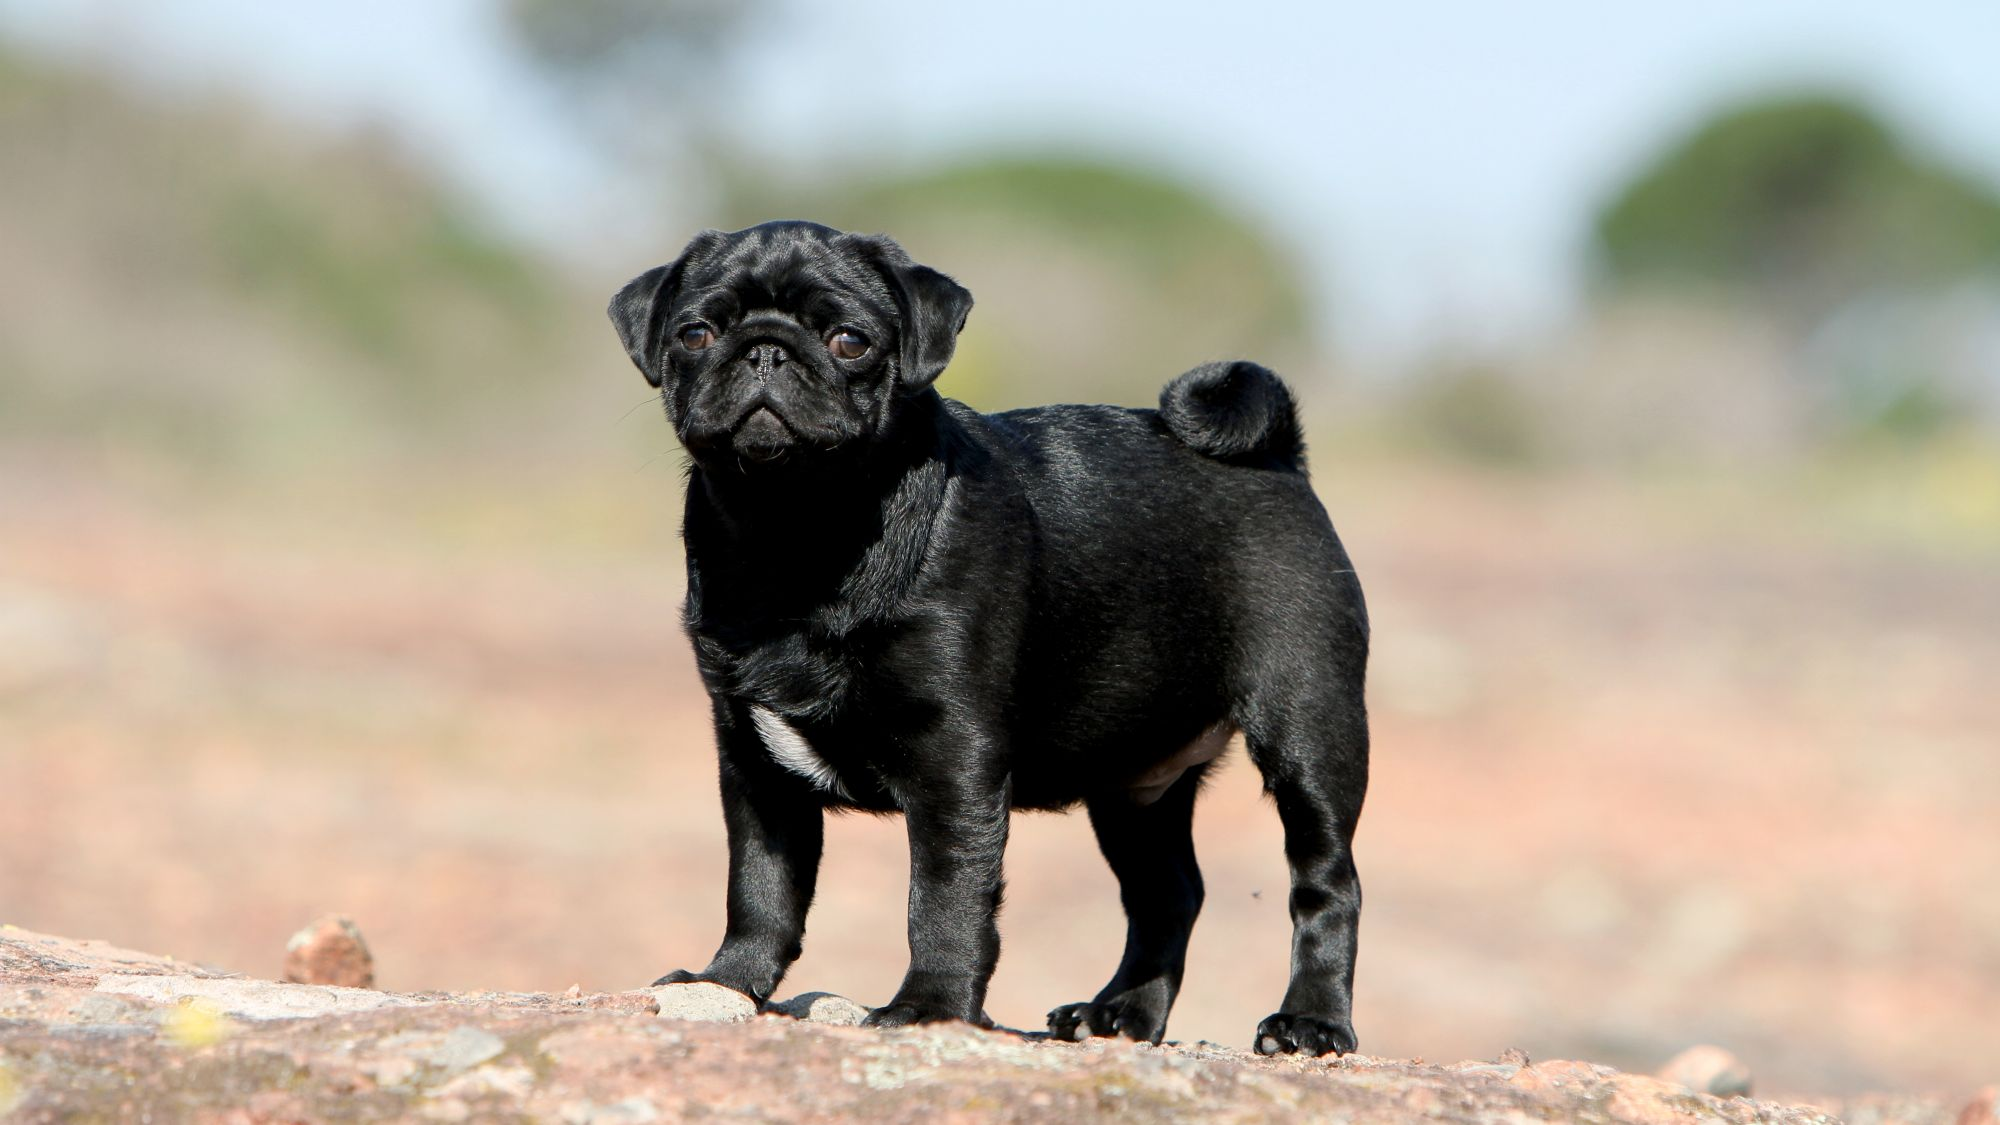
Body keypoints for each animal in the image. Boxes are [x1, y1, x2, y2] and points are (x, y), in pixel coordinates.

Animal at [600, 221, 1368, 1048]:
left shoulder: (954, 759)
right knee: (1168, 893)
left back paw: (1310, 1019)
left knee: (1327, 882)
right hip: (1133, 785)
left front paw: (930, 1004)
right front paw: (729, 980)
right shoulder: (753, 763)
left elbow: (944, 896)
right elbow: (761, 885)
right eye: (695, 334)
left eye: (849, 341)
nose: (765, 349)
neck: (797, 531)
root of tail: (1279, 455)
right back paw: (1120, 1012)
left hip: (1309, 730)